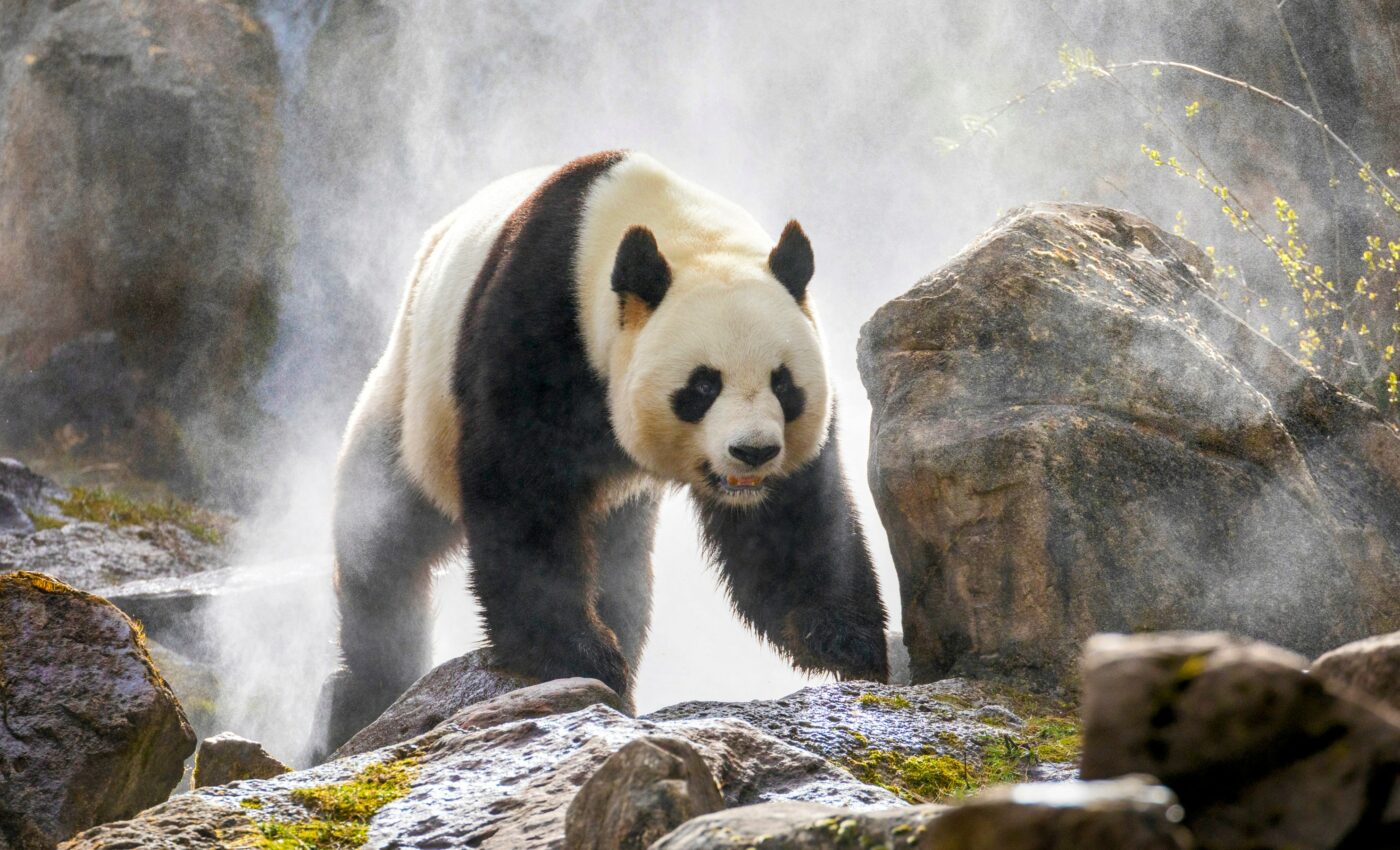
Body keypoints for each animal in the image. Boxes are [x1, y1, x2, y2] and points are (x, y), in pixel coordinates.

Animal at [321, 151, 888, 752]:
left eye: (784, 384)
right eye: (703, 385)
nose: (753, 452)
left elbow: (793, 521)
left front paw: (844, 641)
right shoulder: (537, 322)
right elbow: (521, 489)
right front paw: (575, 653)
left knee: (624, 578)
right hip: (414, 408)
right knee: (383, 546)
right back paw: (365, 694)